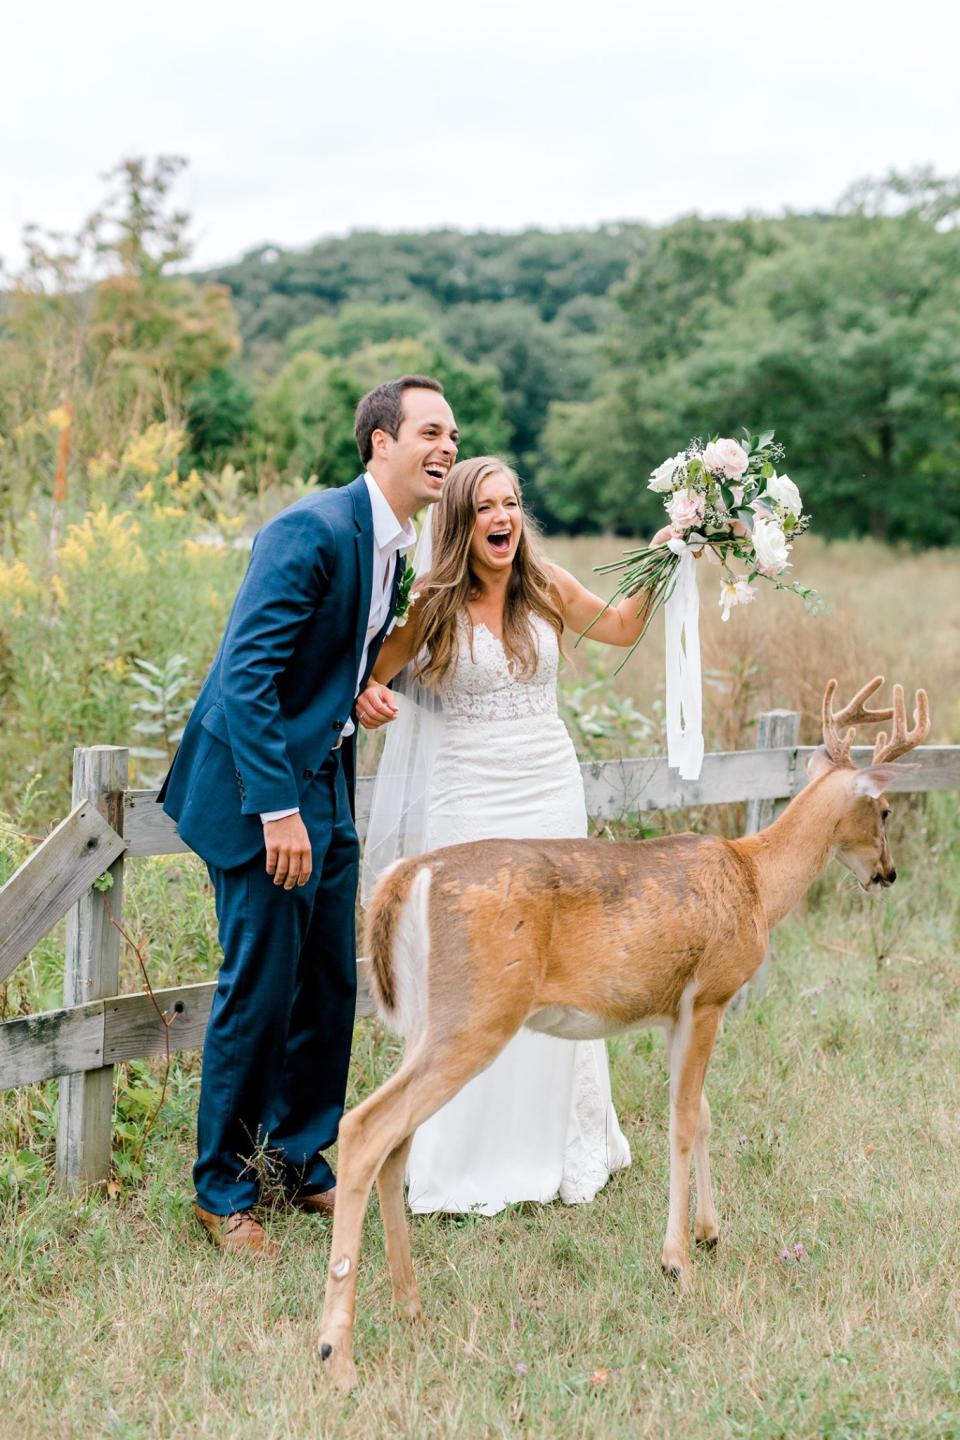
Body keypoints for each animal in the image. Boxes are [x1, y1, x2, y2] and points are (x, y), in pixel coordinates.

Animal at [319, 679, 926, 1388]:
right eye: (883, 810)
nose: (888, 873)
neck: (757, 882)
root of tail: (404, 877)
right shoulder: (711, 992)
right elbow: (683, 1122)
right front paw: (676, 1262)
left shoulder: (674, 1011)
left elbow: (706, 1114)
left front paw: (710, 1233)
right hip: (478, 1012)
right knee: (366, 1128)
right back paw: (337, 1353)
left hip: (428, 1022)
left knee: (397, 1142)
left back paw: (410, 1306)